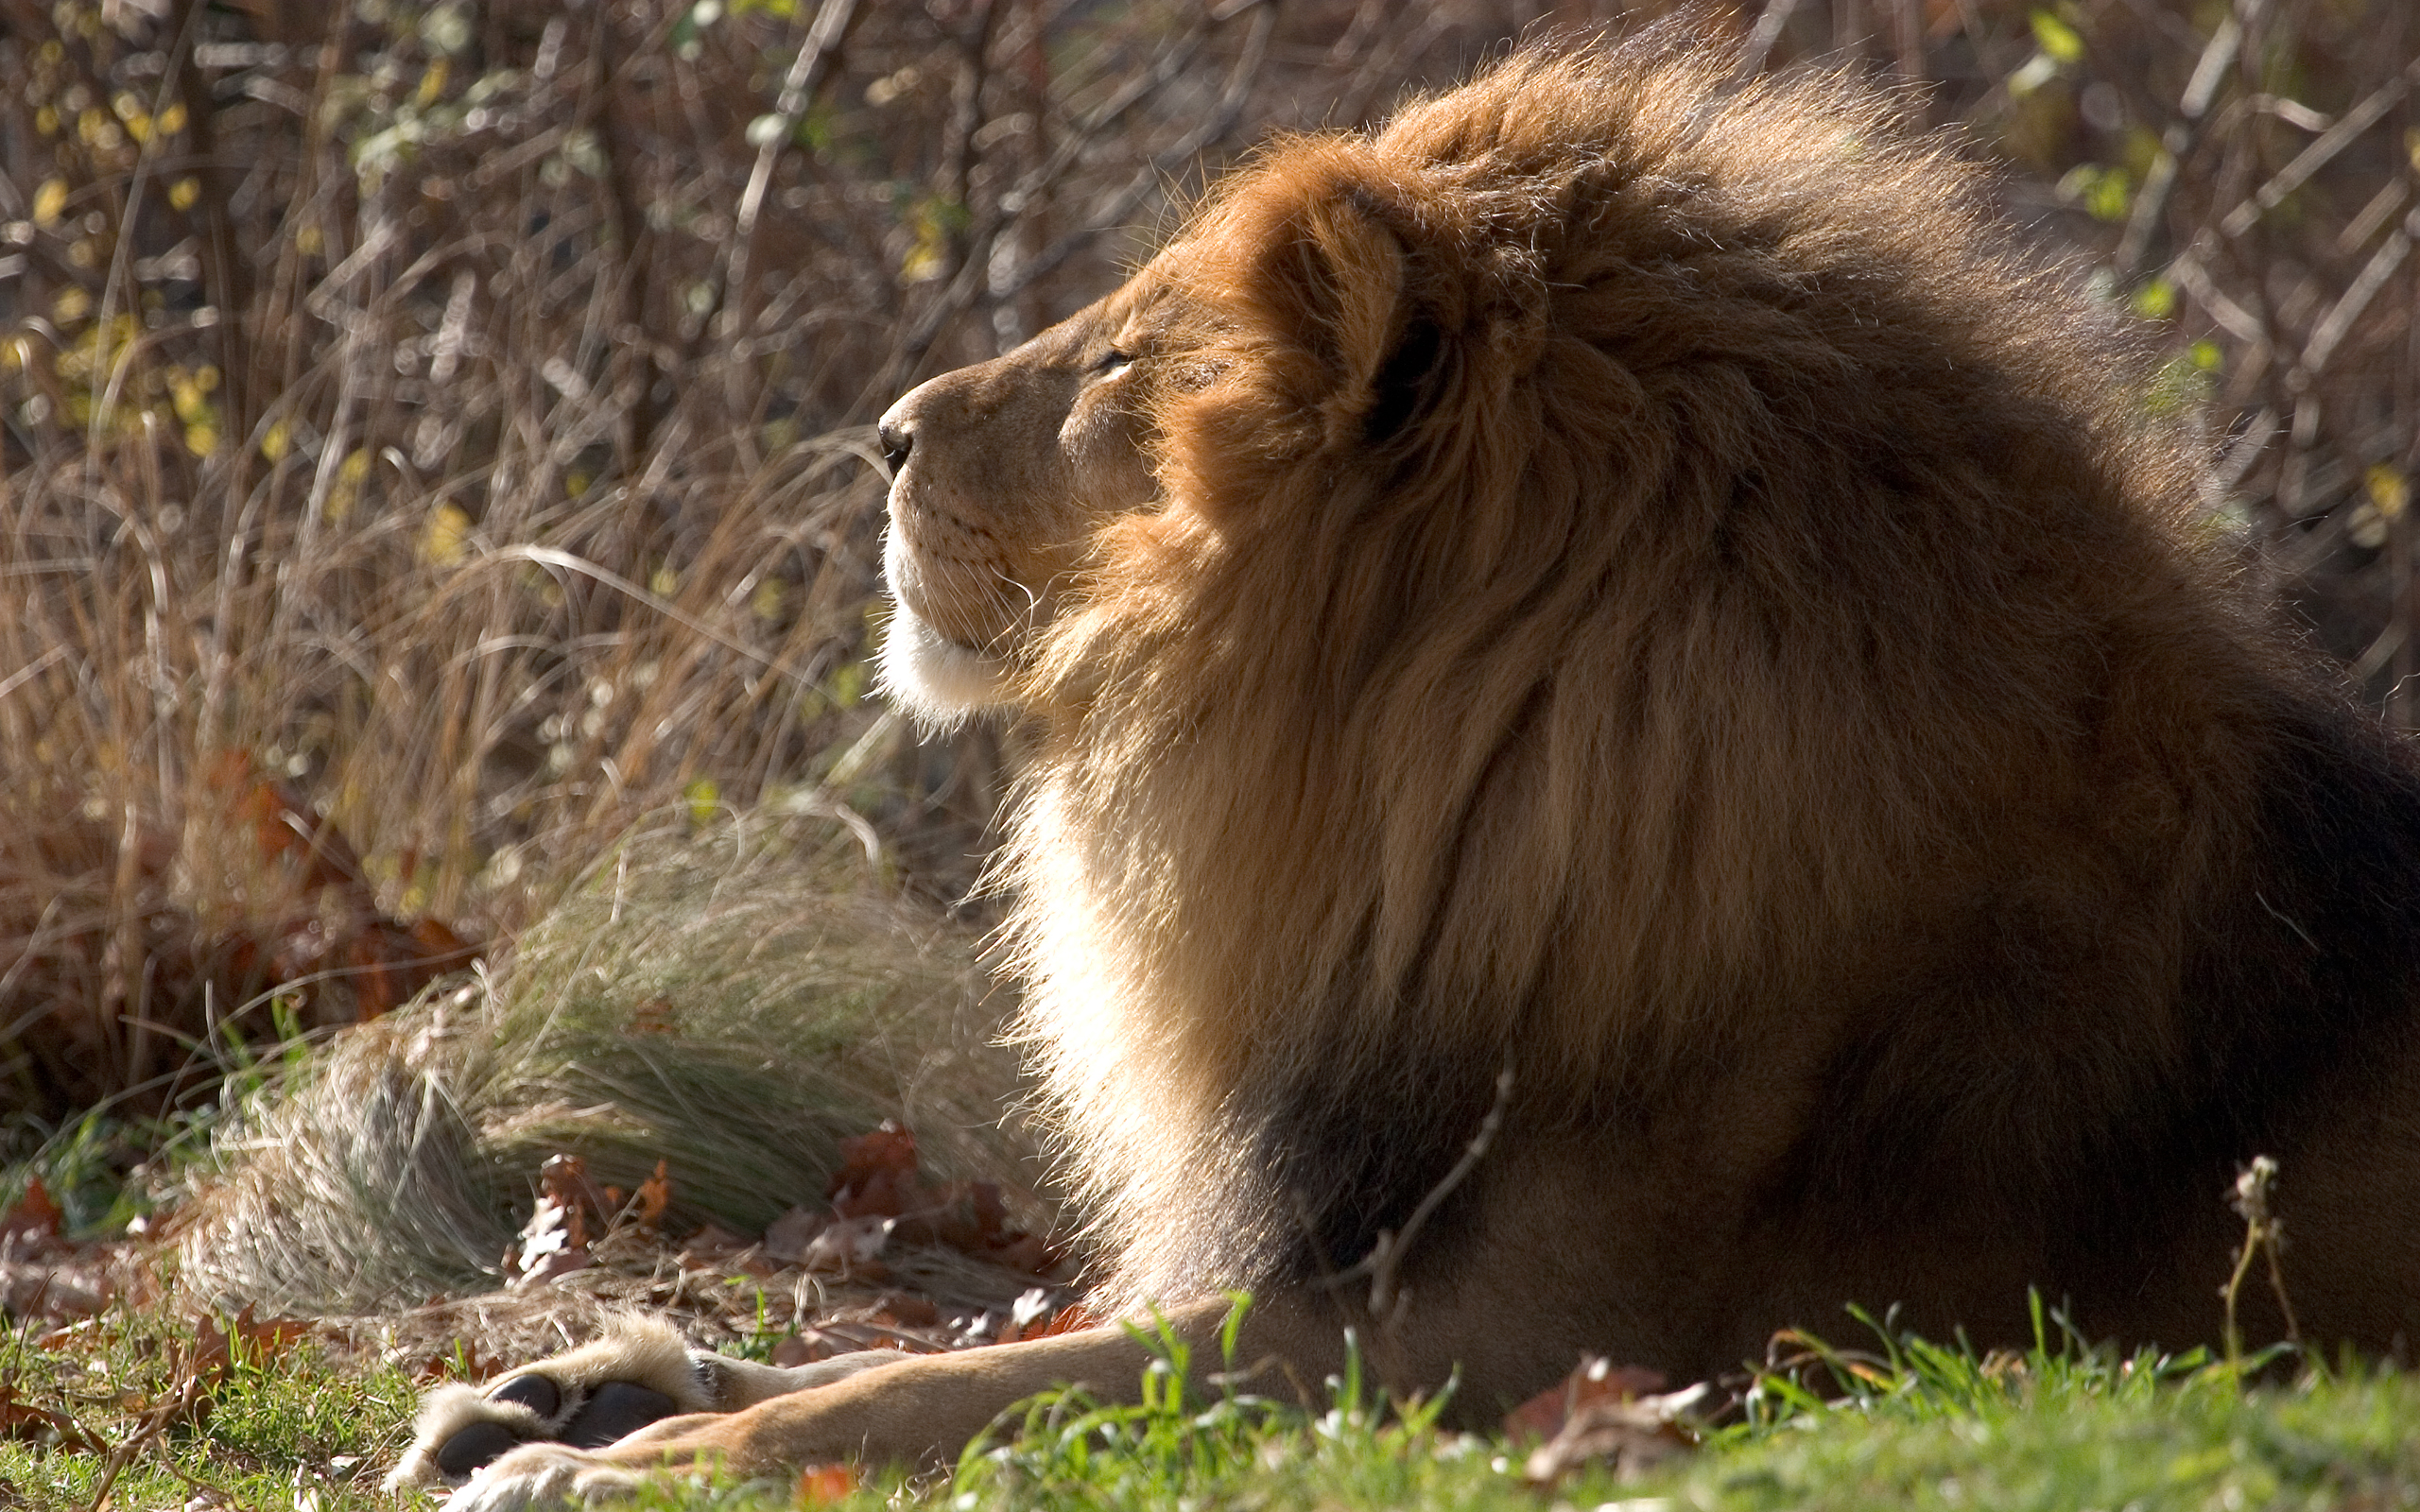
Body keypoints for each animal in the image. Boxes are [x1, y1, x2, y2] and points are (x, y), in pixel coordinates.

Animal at [387, 29, 2420, 1500]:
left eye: (1118, 364)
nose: (878, 435)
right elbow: (947, 1348)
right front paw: (565, 1391)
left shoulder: (1516, 1346)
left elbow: (958, 1386)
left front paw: (637, 1458)